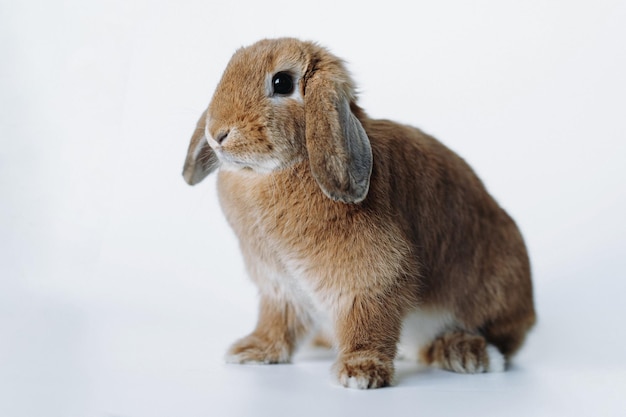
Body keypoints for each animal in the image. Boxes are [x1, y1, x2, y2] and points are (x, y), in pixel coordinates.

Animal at [183, 37, 532, 388]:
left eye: (282, 83)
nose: (217, 133)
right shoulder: (280, 286)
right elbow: (278, 321)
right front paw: (253, 350)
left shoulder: (373, 274)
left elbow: (367, 318)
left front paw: (360, 371)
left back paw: (467, 353)